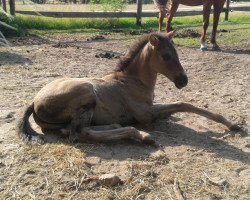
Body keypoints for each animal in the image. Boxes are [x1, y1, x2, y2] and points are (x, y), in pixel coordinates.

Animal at [16, 31, 240, 144]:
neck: (133, 81)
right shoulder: (146, 114)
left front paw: (232, 124)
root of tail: (34, 102)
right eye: (166, 56)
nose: (183, 80)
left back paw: (117, 126)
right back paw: (140, 135)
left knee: (74, 130)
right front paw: (231, 124)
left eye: (177, 53)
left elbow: (179, 106)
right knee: (79, 133)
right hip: (87, 92)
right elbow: (183, 104)